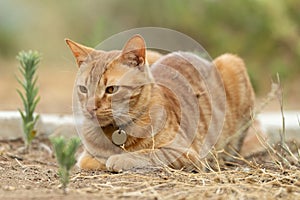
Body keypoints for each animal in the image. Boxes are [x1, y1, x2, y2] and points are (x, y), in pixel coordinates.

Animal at [66, 34, 255, 172]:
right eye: (83, 89)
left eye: (111, 89)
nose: (90, 108)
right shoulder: (86, 156)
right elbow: (90, 160)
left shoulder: (184, 153)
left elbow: (147, 154)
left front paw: (119, 159)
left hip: (231, 62)